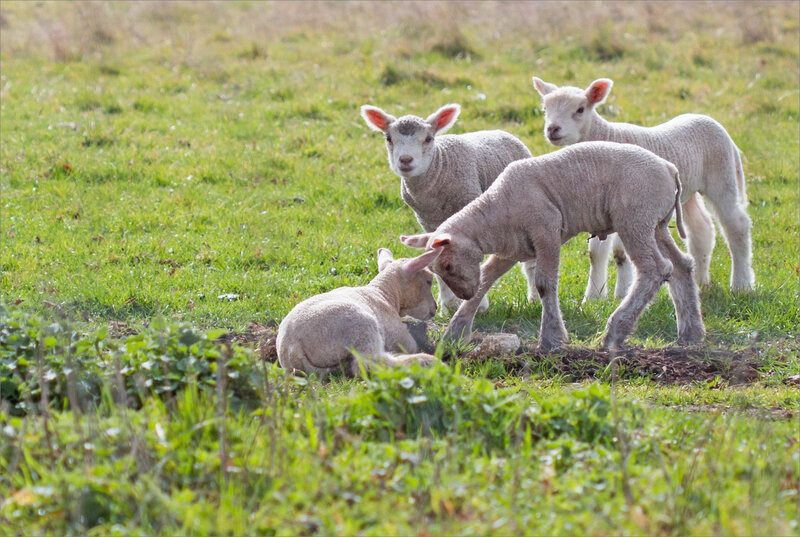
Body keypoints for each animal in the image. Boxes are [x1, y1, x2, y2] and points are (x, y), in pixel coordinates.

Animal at [276, 246, 440, 374]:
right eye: (429, 281)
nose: (435, 307)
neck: (385, 293)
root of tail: (291, 348)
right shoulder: (397, 334)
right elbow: (411, 345)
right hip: (362, 327)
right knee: (366, 363)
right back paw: (425, 360)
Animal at [360, 101, 536, 314]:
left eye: (428, 139)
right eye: (388, 138)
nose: (405, 160)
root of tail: (504, 132)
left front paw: (478, 304)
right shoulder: (428, 221)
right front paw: (449, 306)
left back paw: (535, 297)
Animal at [400, 141, 708, 352]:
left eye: (448, 264)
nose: (462, 294)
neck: (494, 215)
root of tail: (670, 169)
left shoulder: (546, 231)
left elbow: (544, 284)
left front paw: (551, 337)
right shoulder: (511, 249)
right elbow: (486, 279)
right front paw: (456, 331)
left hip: (634, 218)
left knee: (656, 269)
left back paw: (615, 331)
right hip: (655, 223)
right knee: (680, 266)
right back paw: (691, 332)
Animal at [536, 76, 752, 302]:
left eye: (580, 109)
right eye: (545, 108)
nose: (552, 129)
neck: (603, 136)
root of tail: (713, 122)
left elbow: (612, 253)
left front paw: (610, 294)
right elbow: (603, 254)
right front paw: (604, 295)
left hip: (722, 175)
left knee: (737, 225)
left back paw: (741, 284)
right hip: (687, 191)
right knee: (701, 229)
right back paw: (701, 281)